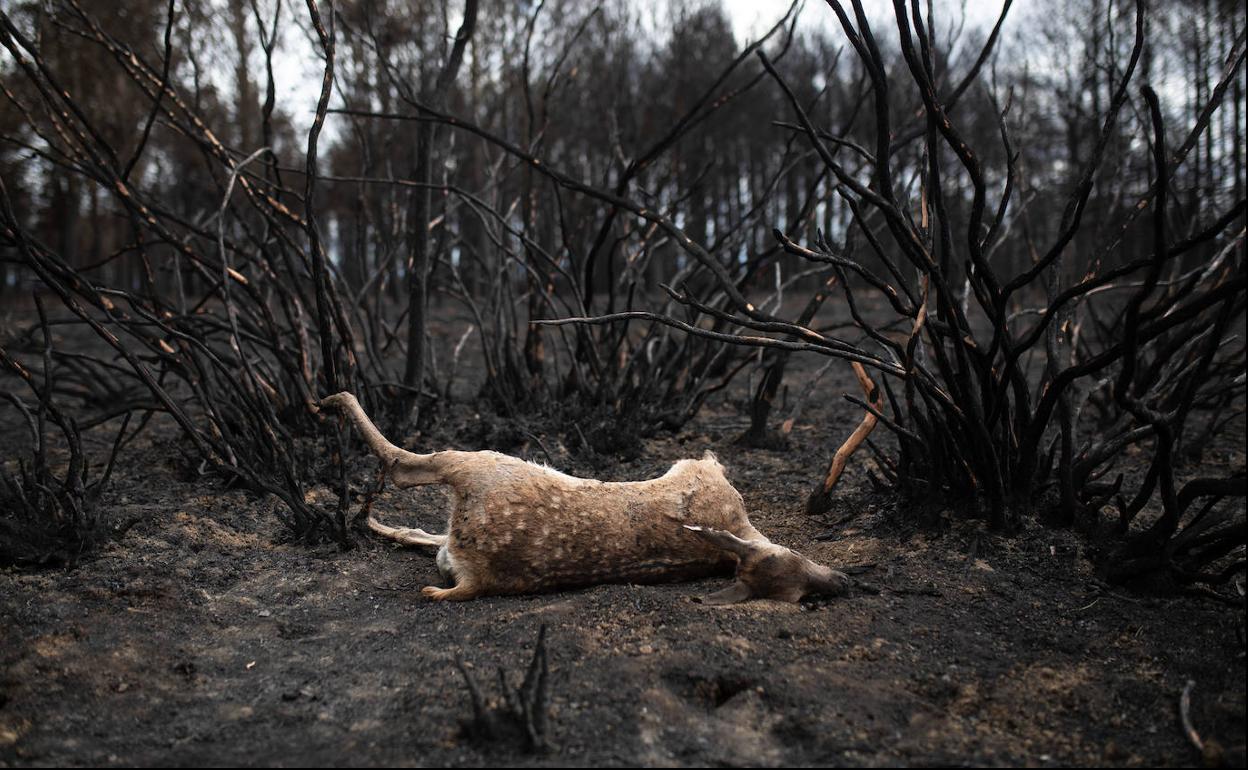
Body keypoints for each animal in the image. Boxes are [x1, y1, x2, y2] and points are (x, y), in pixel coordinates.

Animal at [318, 392, 849, 604]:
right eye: (800, 587)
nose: (843, 582)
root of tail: (476, 579)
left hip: (484, 465)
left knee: (403, 465)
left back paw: (330, 404)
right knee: (422, 524)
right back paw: (369, 518)